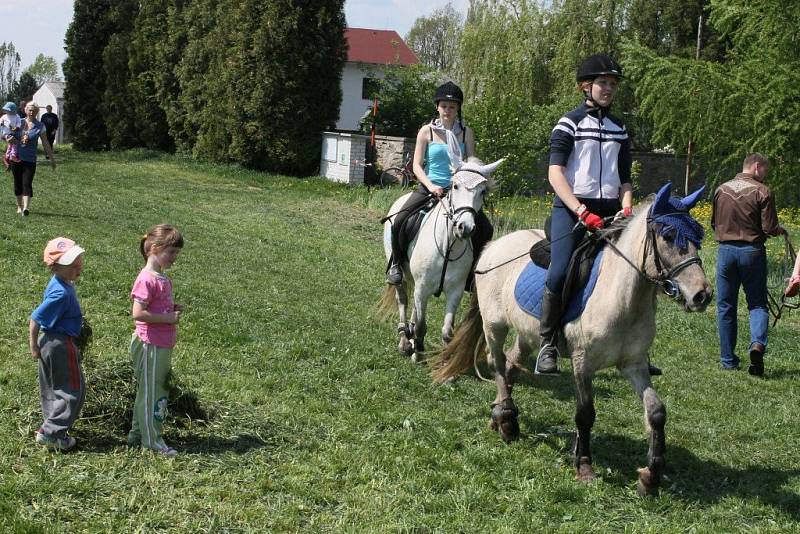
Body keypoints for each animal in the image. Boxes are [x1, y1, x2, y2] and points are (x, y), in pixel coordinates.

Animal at [378, 157, 504, 362]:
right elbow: (422, 325)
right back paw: (405, 341)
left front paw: (444, 362)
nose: (465, 227)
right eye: (455, 186)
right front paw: (418, 353)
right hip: (401, 272)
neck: (448, 244)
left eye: (482, 191)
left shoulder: (454, 292)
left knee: (414, 307)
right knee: (403, 299)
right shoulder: (423, 287)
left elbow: (447, 331)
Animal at [434, 184, 708, 498]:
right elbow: (585, 414)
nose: (702, 295)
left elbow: (656, 412)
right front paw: (584, 466)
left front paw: (650, 476)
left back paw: (500, 415)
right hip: (494, 325)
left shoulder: (634, 364)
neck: (621, 297)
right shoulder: (582, 362)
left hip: (528, 334)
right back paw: (507, 420)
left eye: (698, 237)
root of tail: (493, 246)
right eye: (668, 236)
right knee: (498, 365)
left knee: (512, 363)